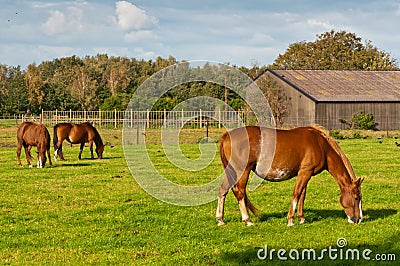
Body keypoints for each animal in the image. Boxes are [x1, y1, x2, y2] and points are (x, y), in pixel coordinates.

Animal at [217, 126, 364, 227]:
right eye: (356, 198)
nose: (359, 219)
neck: (321, 145)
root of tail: (226, 136)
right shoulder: (305, 172)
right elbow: (297, 194)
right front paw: (291, 219)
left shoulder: (305, 173)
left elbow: (302, 195)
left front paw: (302, 218)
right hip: (243, 171)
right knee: (240, 192)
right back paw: (247, 220)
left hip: (231, 171)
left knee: (223, 190)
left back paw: (220, 219)